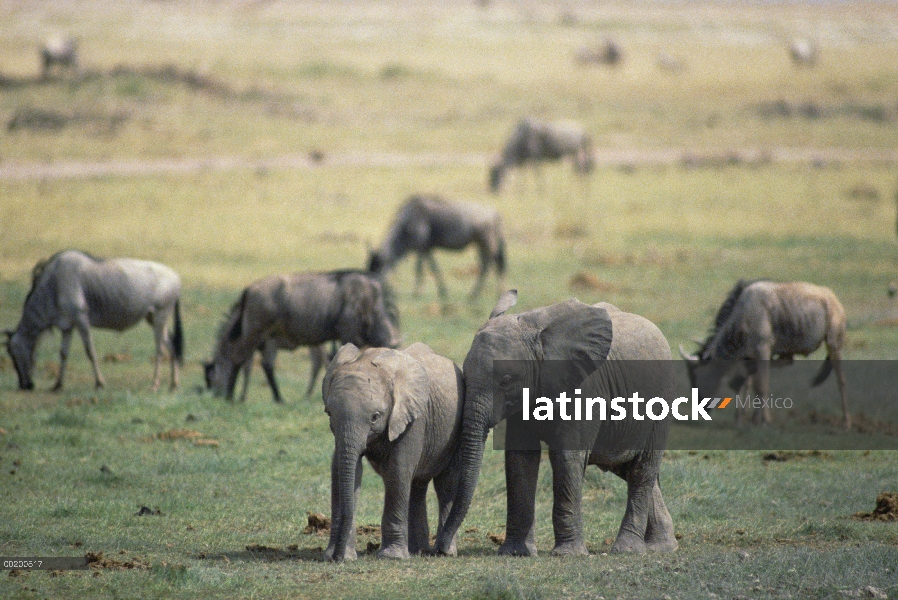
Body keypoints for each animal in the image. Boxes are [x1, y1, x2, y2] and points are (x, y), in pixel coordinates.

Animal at [320, 342, 462, 564]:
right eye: (329, 413)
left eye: (375, 417)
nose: (338, 558)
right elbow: (340, 471)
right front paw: (337, 556)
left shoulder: (413, 419)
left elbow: (397, 471)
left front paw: (391, 557)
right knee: (417, 486)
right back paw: (417, 551)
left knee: (445, 483)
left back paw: (444, 552)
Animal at [432, 290, 672, 556]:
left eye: (506, 380)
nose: (441, 549)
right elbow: (520, 456)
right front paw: (516, 553)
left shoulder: (583, 386)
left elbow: (566, 455)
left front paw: (568, 555)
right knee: (629, 469)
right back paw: (661, 547)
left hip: (660, 403)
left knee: (642, 470)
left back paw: (628, 549)